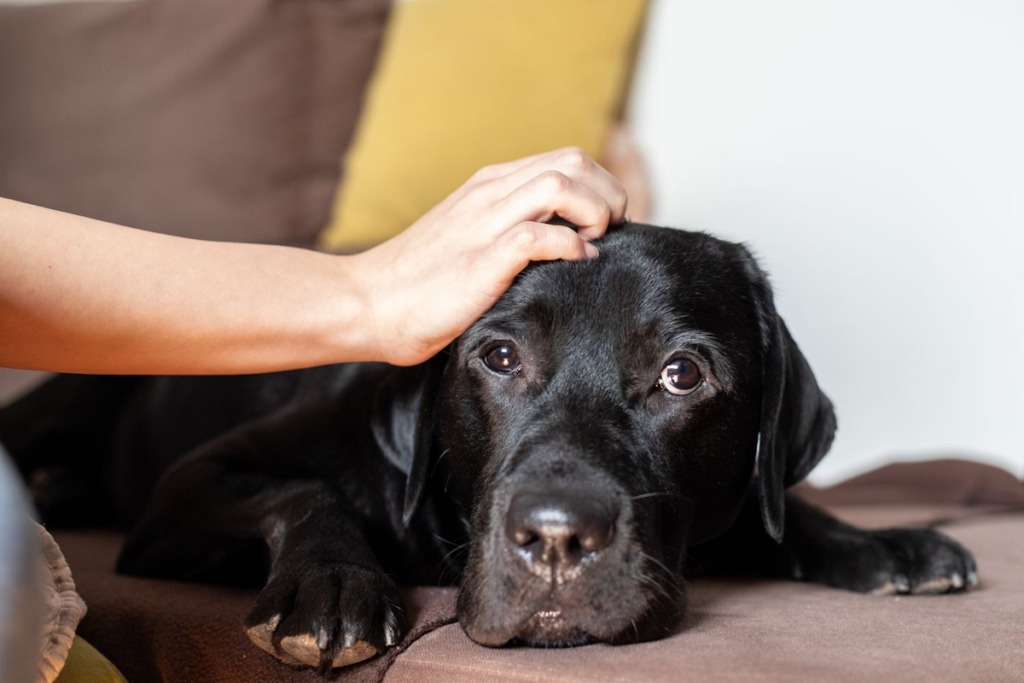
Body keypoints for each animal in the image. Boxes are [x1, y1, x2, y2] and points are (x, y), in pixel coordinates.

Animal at [0, 225, 974, 671]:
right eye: (499, 357)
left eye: (682, 374)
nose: (557, 538)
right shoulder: (190, 483)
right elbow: (306, 491)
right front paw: (334, 586)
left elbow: (774, 509)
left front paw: (882, 541)